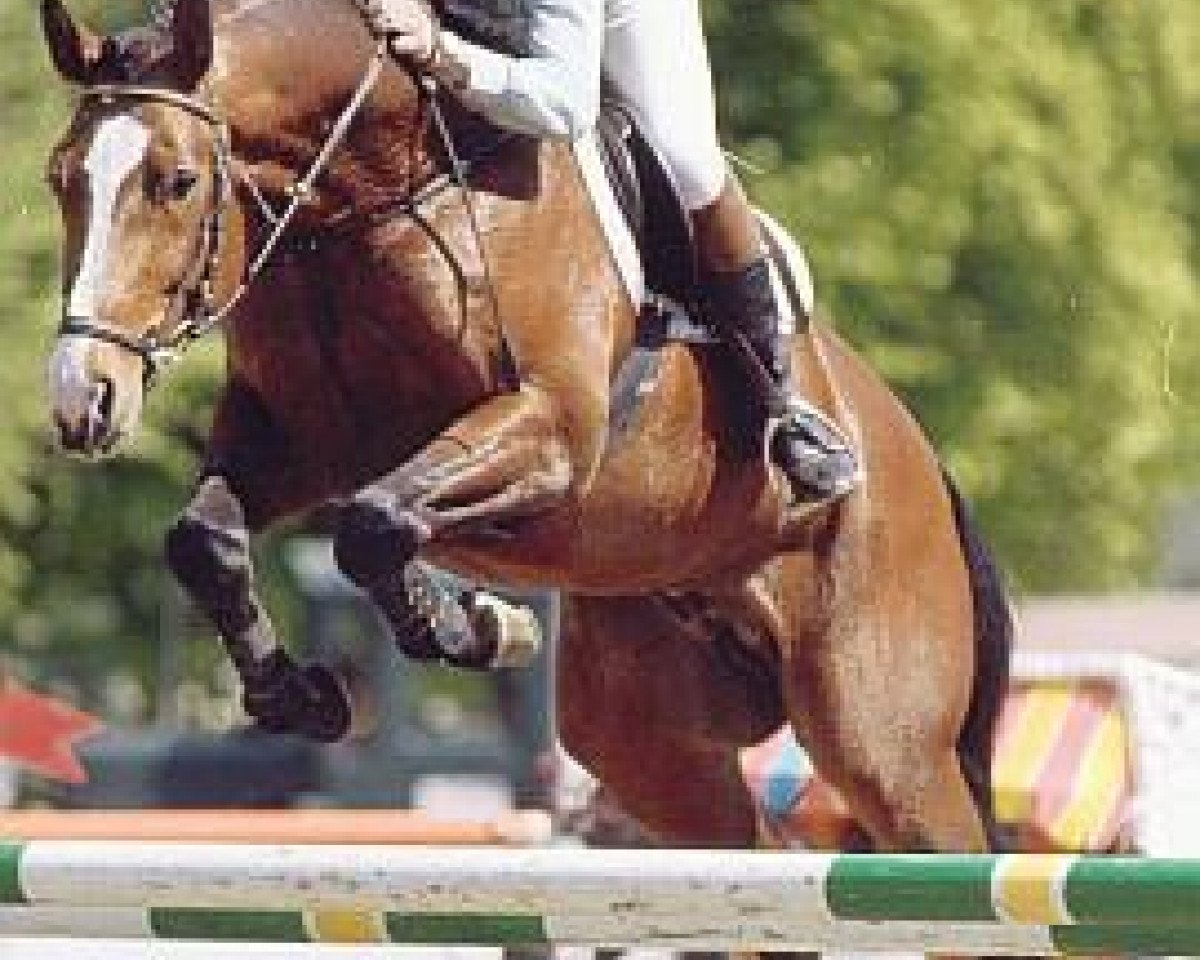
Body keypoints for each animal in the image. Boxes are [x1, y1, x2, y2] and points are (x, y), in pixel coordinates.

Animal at [40, 0, 1011, 855]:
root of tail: (923, 463)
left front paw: (468, 623)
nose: (82, 398)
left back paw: (809, 447)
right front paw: (301, 696)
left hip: (881, 740)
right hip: (648, 743)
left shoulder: (548, 435)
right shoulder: (292, 445)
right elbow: (208, 537)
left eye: (176, 181)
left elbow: (374, 523)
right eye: (59, 179)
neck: (371, 199)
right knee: (755, 854)